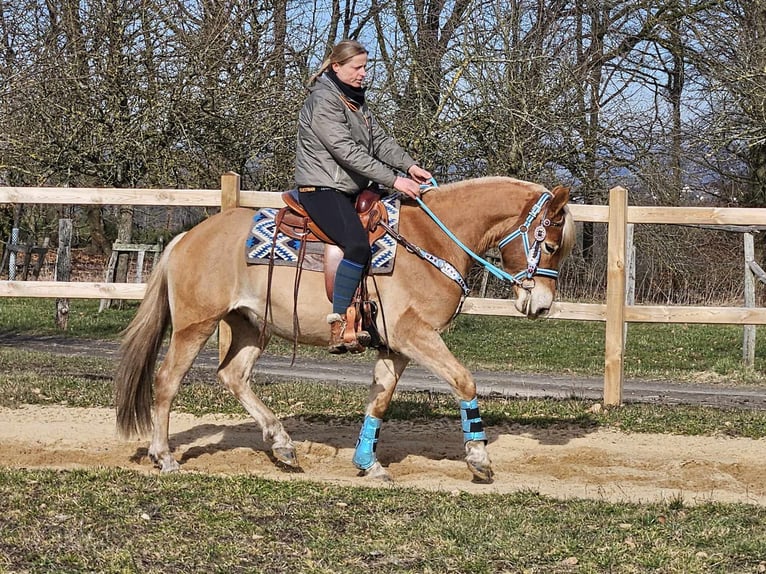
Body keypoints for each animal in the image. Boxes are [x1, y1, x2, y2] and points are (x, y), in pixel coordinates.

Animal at [114, 178, 576, 484]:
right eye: (551, 246)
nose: (542, 305)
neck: (431, 243)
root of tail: (186, 239)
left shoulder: (395, 347)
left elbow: (380, 400)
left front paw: (368, 463)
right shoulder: (415, 335)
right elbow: (464, 381)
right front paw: (478, 457)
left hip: (250, 327)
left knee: (233, 375)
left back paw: (282, 445)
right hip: (196, 326)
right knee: (167, 381)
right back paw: (164, 457)